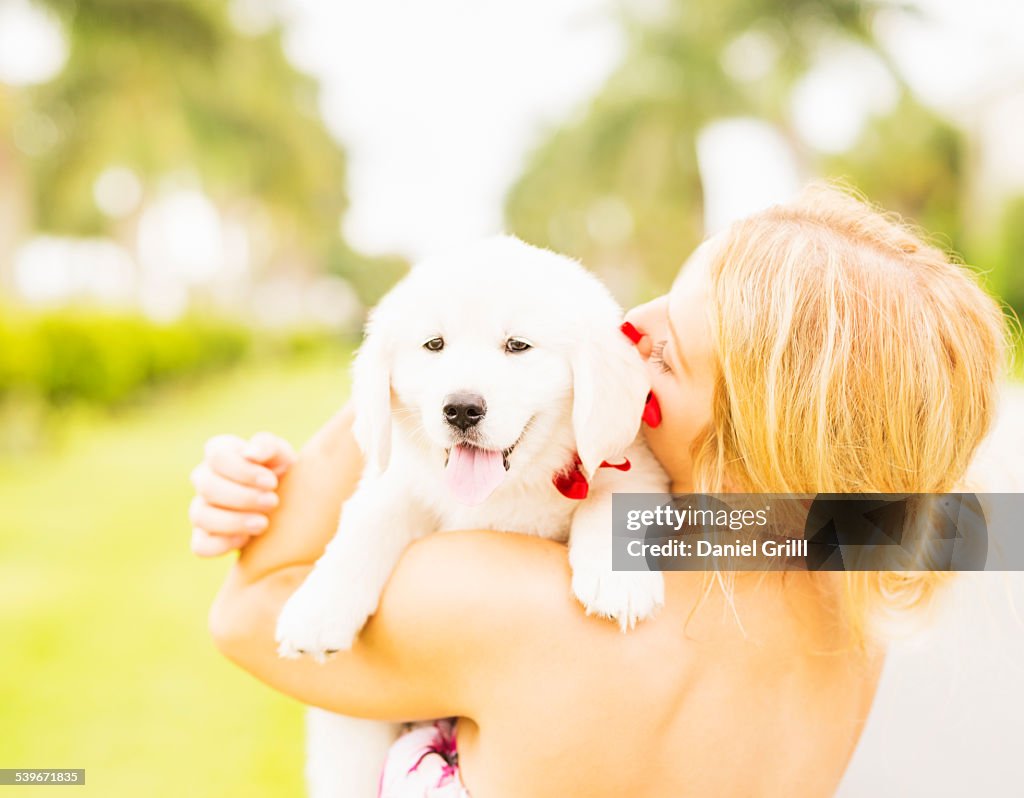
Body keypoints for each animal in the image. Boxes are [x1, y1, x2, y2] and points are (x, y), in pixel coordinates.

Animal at [276, 237, 667, 798]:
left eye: (518, 346)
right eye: (434, 345)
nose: (461, 409)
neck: (510, 489)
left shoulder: (635, 457)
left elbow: (614, 495)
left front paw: (618, 580)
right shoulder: (404, 479)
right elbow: (369, 520)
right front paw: (319, 607)